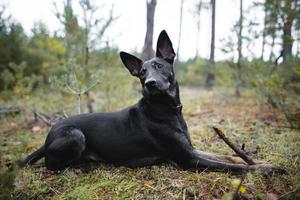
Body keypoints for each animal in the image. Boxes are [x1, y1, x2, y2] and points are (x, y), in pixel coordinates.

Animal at [23, 30, 284, 173]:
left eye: (159, 66)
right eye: (141, 73)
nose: (149, 83)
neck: (167, 110)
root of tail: (48, 136)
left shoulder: (191, 149)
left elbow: (228, 156)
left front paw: (261, 161)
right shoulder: (188, 158)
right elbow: (234, 166)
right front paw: (262, 169)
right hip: (76, 135)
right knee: (51, 165)